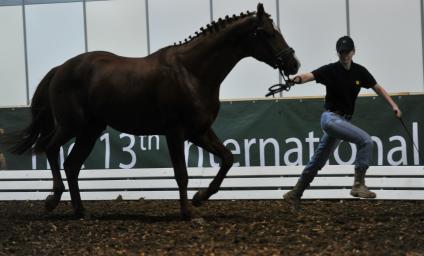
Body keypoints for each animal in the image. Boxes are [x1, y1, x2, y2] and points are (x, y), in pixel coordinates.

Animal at [7, 3, 298, 220]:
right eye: (268, 33)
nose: (293, 64)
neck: (192, 72)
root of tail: (61, 68)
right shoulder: (175, 132)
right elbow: (181, 173)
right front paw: (189, 213)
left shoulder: (200, 131)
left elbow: (227, 158)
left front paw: (200, 198)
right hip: (72, 126)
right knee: (50, 148)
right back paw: (52, 199)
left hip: (90, 131)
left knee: (71, 164)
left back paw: (81, 211)